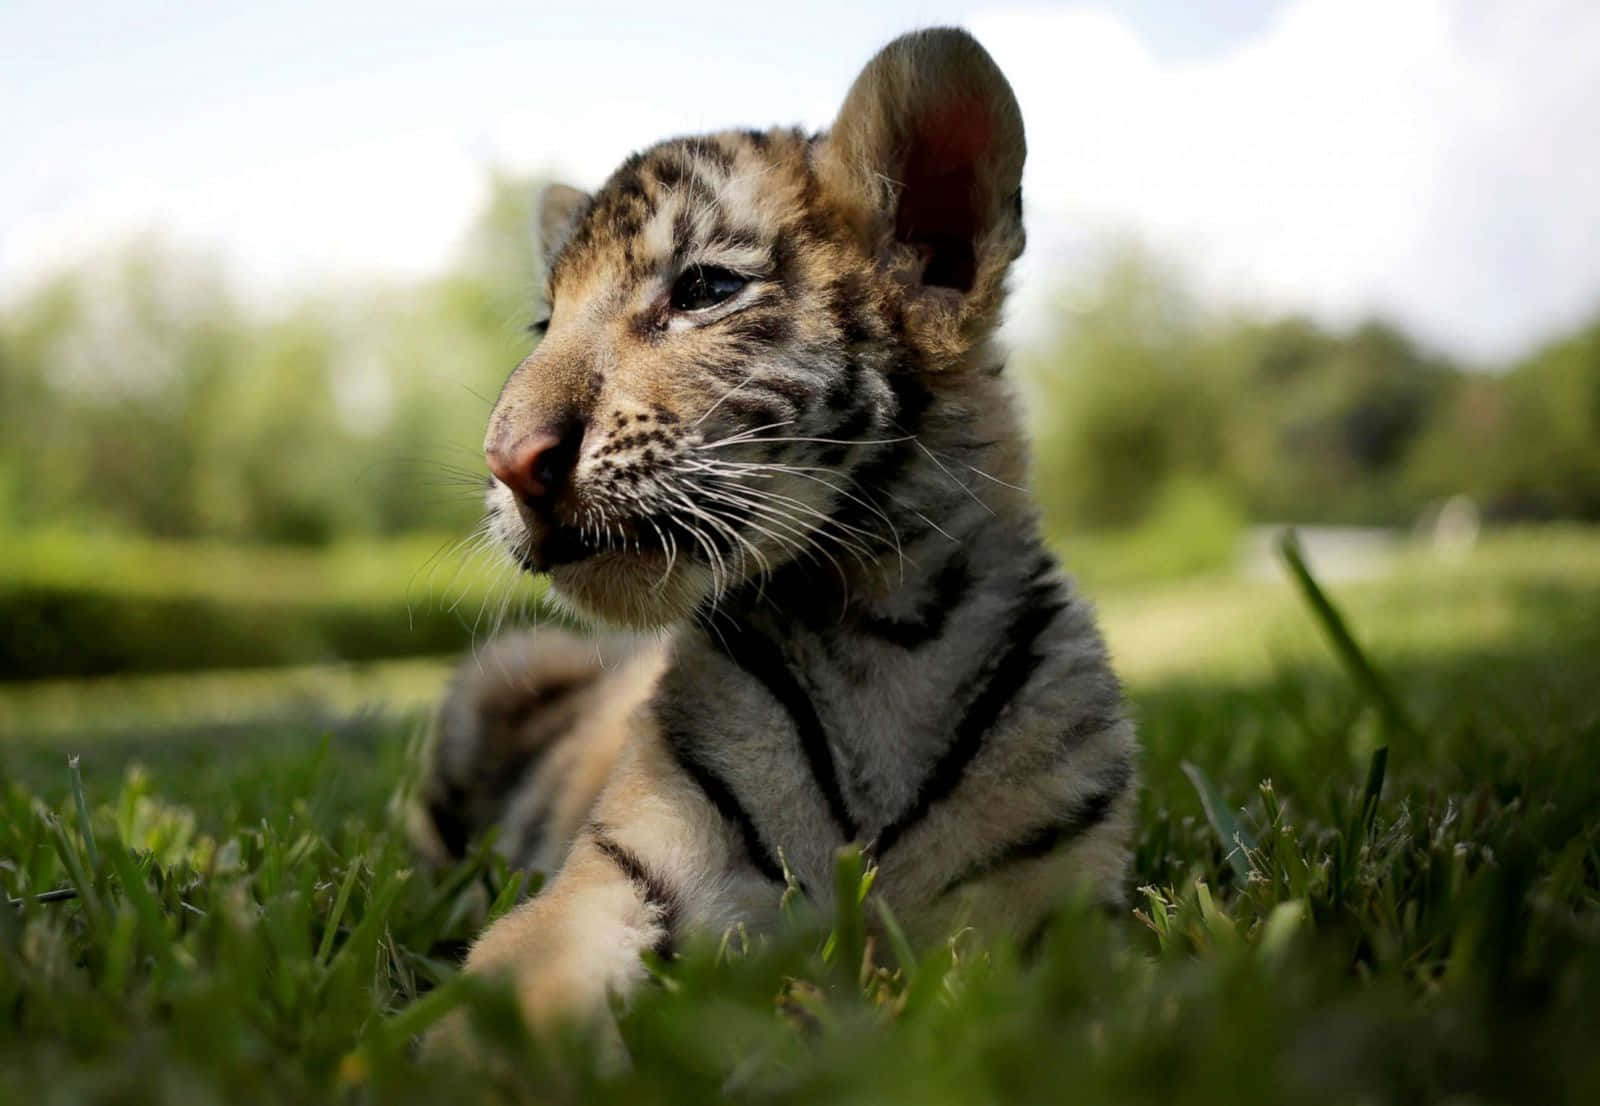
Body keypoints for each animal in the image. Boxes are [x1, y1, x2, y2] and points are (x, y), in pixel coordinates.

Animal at [415, 26, 1138, 1048]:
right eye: (544, 322)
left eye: (705, 288)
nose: (509, 461)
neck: (883, 630)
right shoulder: (630, 863)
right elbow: (520, 990)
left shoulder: (1058, 909)